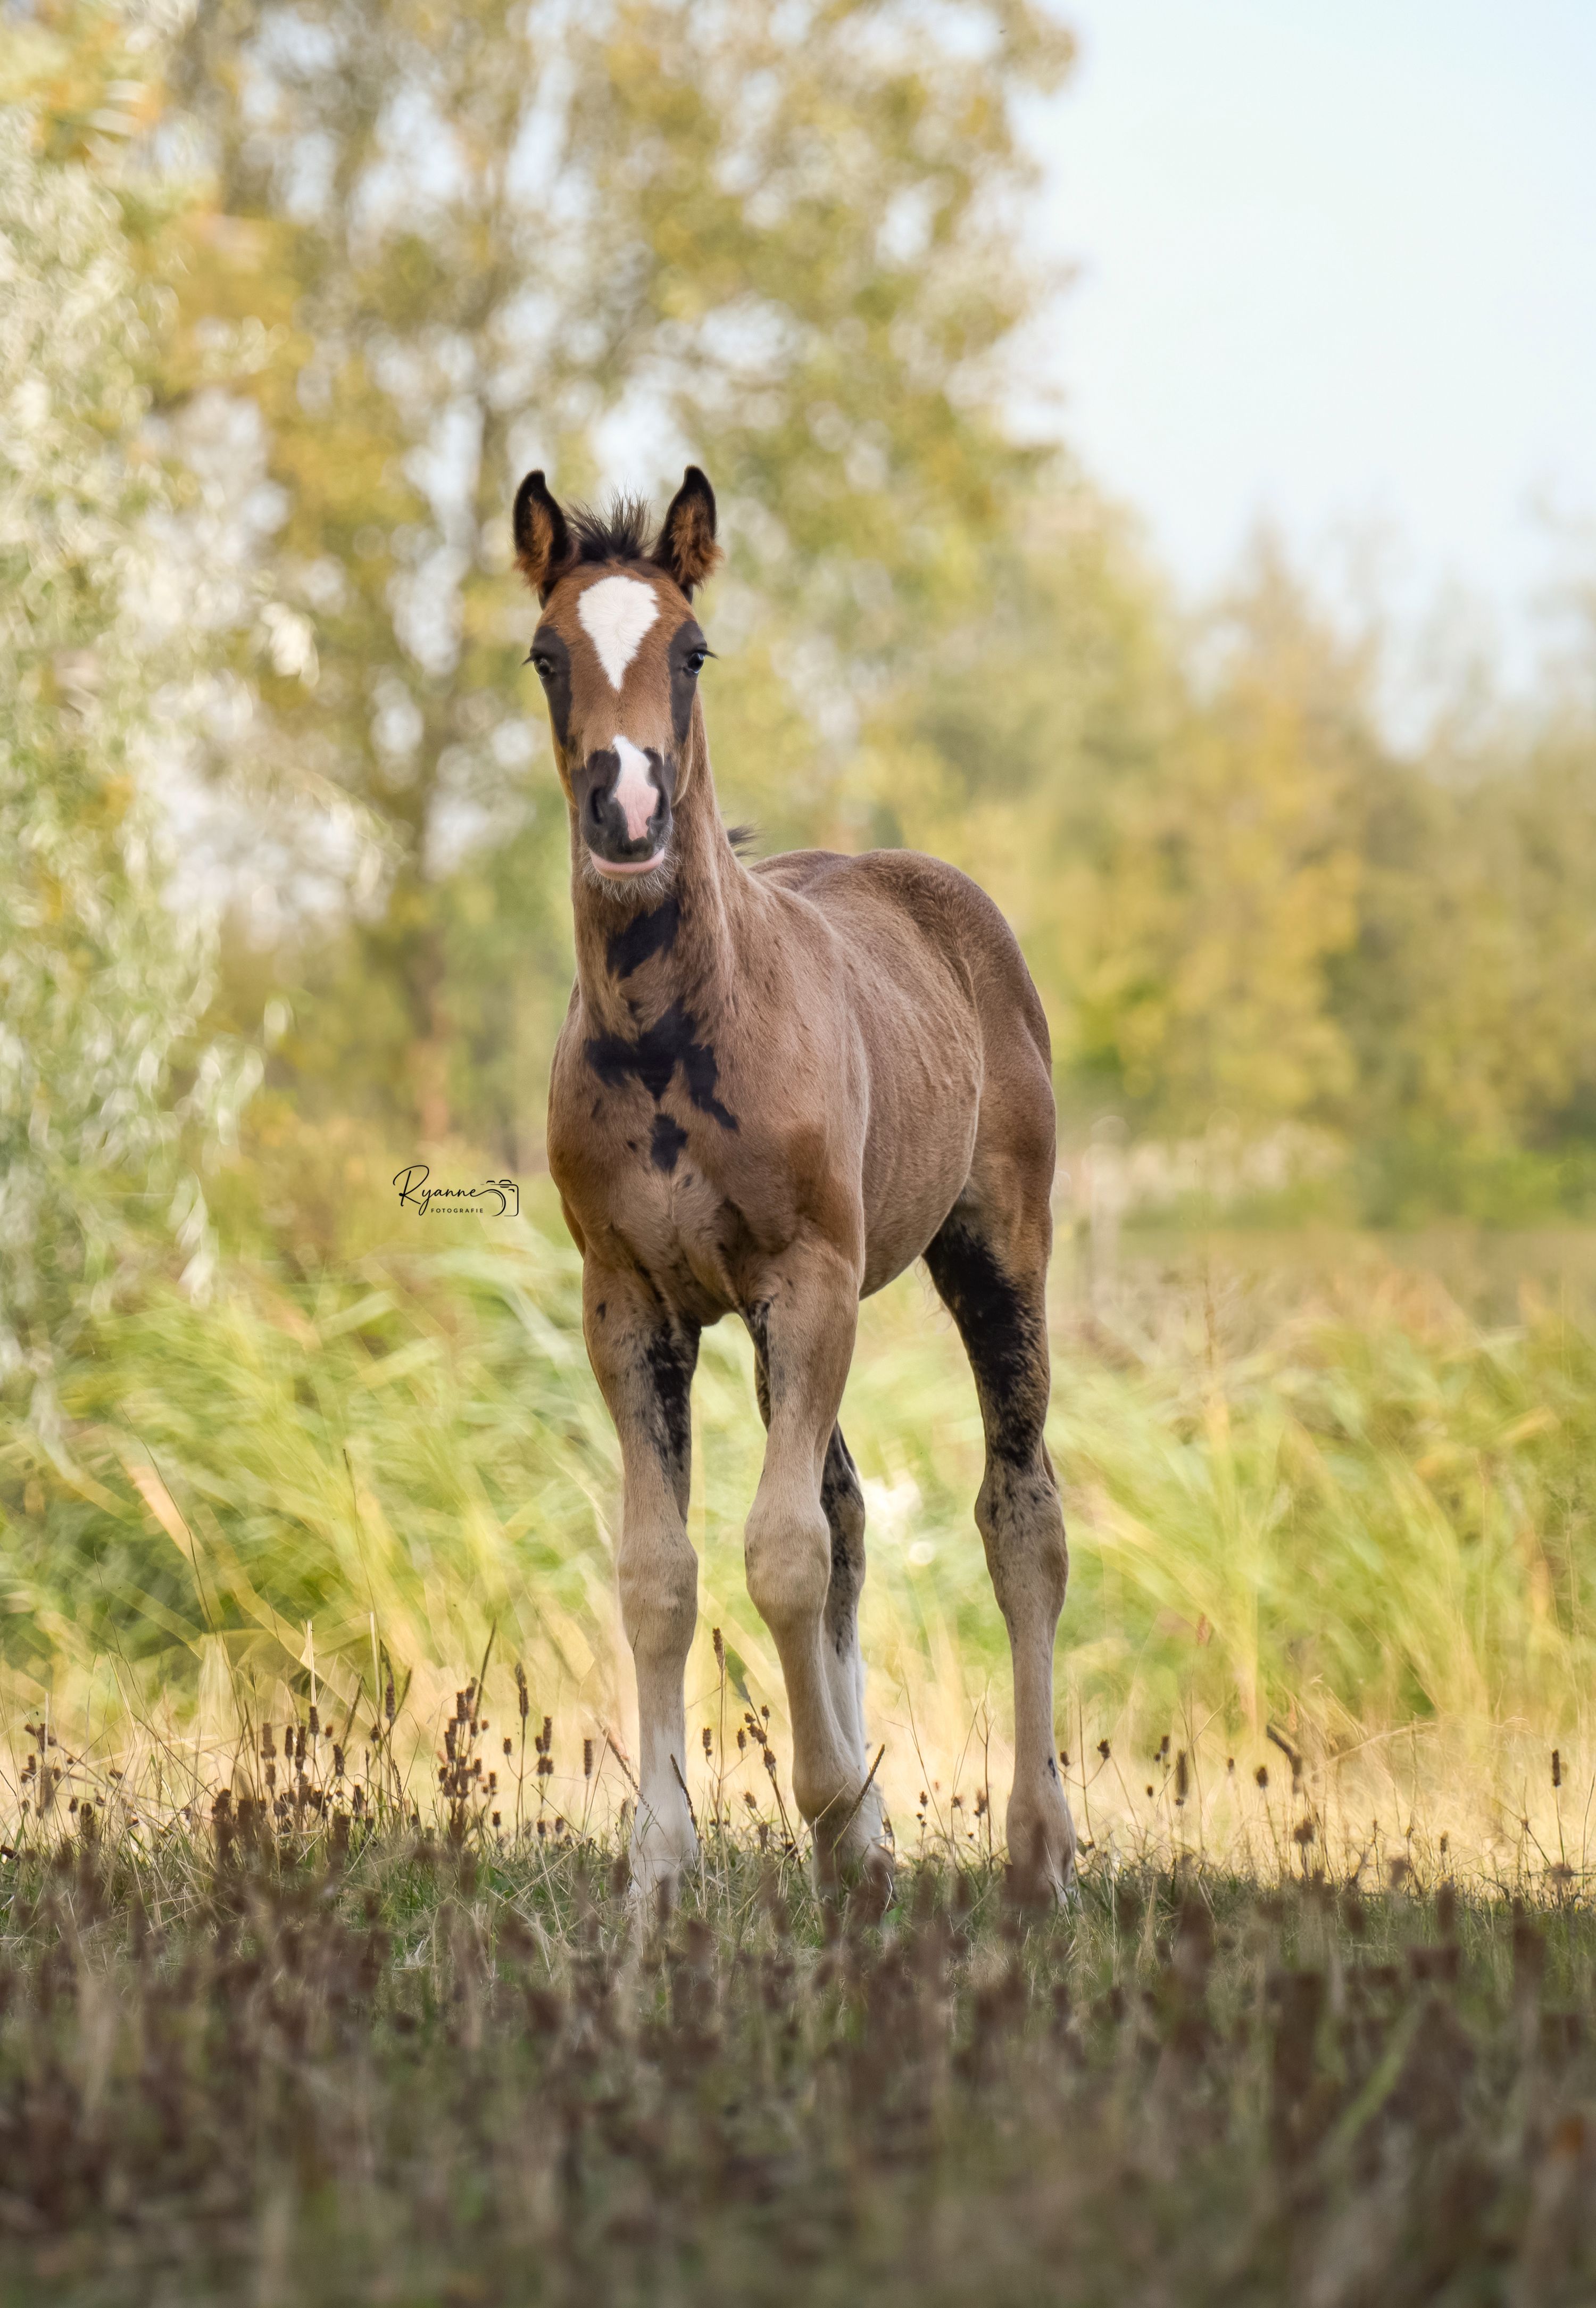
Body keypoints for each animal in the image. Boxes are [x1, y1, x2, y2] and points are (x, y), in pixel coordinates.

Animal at [513, 463, 1075, 1905]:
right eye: (546, 653)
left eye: (692, 650)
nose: (628, 814)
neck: (672, 1035)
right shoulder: (627, 1304)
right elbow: (662, 1570)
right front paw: (663, 1867)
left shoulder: (810, 1280)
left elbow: (780, 1551)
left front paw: (830, 1808)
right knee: (851, 1507)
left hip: (995, 1252)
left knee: (1019, 1513)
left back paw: (1039, 1849)